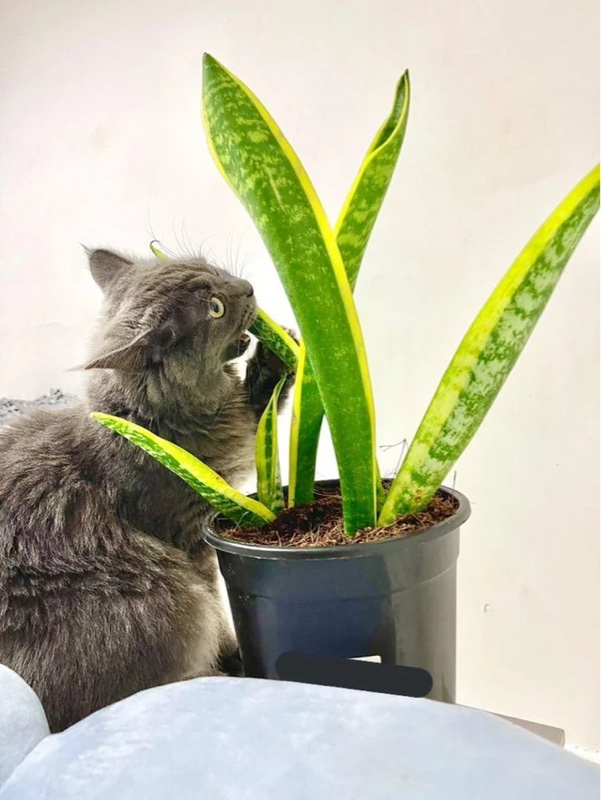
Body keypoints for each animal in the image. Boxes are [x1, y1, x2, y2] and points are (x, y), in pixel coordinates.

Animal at [0, 248, 292, 732]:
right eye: (216, 309)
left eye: (212, 268)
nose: (247, 287)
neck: (149, 423)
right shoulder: (191, 535)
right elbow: (217, 604)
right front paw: (234, 654)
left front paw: (277, 351)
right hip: (165, 600)